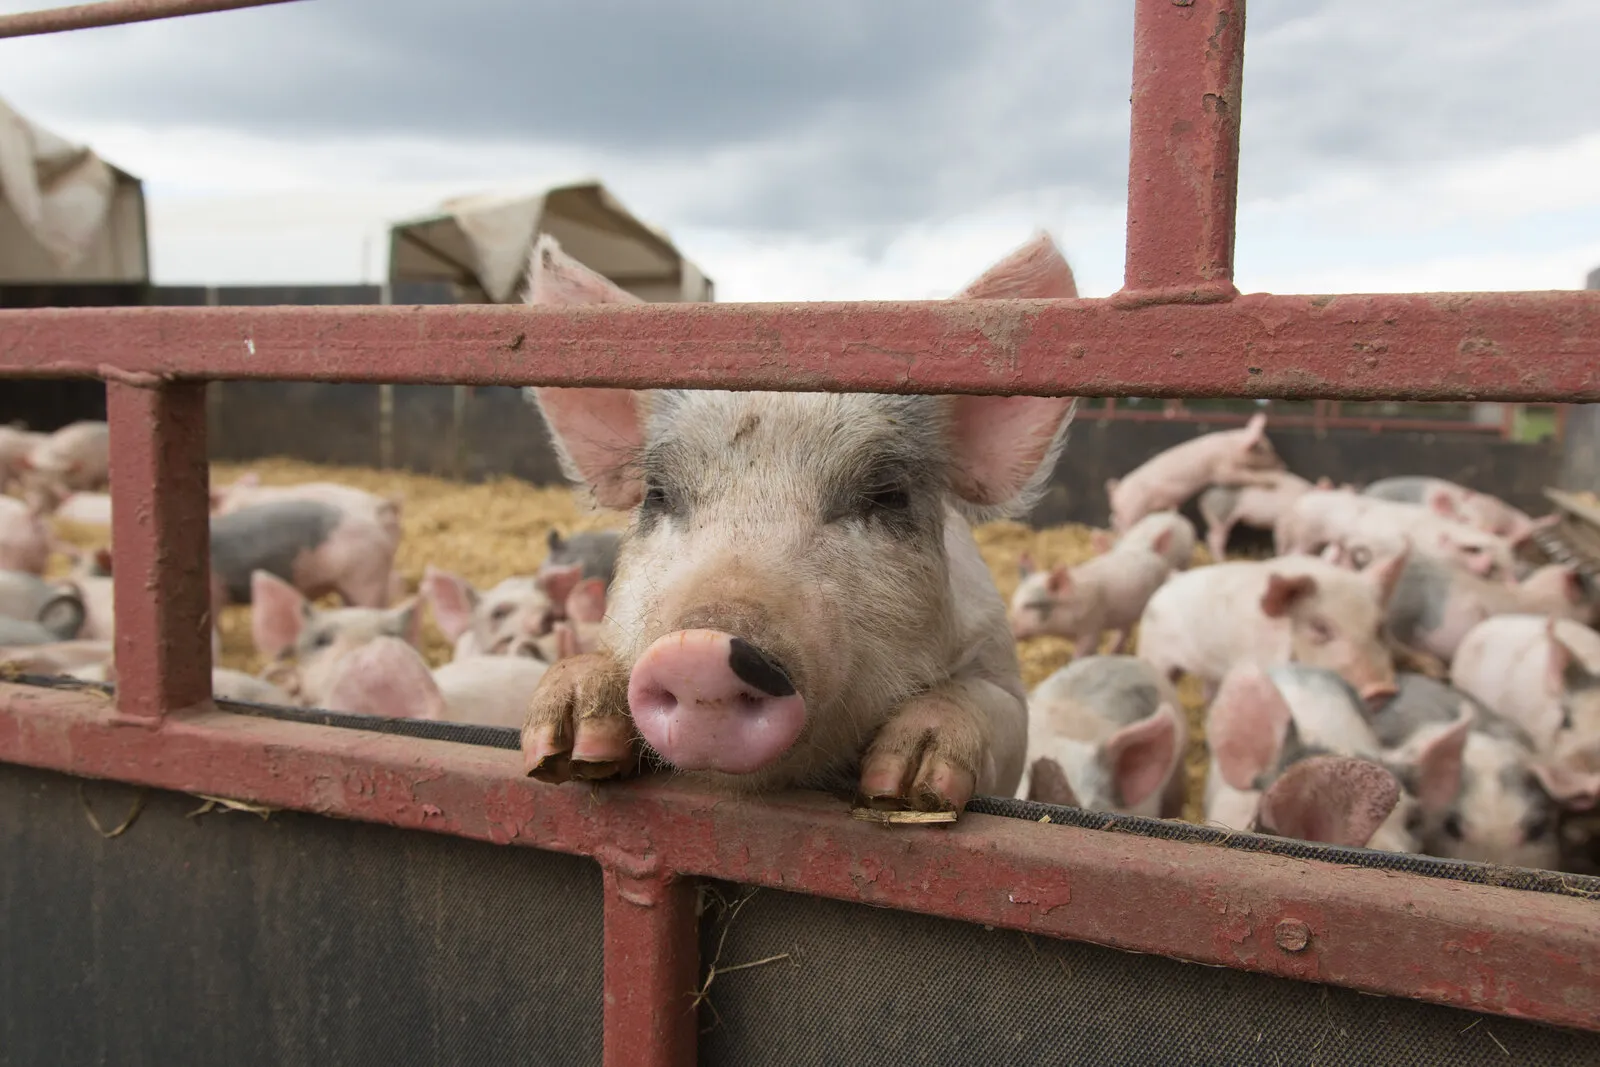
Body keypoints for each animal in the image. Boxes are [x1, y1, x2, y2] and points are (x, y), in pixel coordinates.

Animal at [517, 229, 1081, 814]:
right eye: (658, 494)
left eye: (887, 496)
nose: (700, 649)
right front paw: (564, 749)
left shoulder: (1000, 667)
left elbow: (991, 706)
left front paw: (906, 788)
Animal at [1009, 538, 1173, 653]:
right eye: (1014, 602)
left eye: (1031, 605)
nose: (1011, 627)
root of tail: (1157, 557)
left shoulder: (1091, 625)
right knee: (1125, 630)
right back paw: (1112, 650)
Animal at [1105, 413, 1285, 533]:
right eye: (1266, 450)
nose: (1283, 465)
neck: (1231, 447)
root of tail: (1117, 491)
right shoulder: (1222, 469)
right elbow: (1236, 476)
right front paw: (1271, 483)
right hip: (1134, 508)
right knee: (1123, 523)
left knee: (1113, 519)